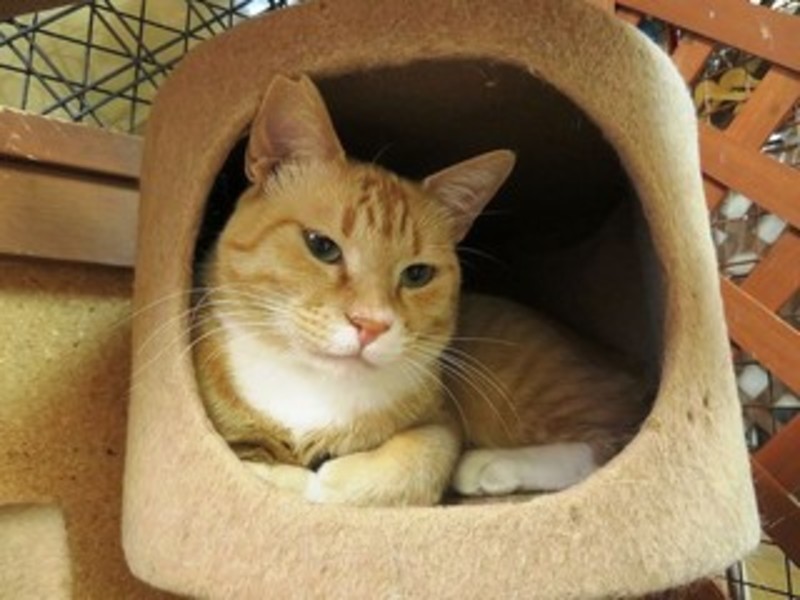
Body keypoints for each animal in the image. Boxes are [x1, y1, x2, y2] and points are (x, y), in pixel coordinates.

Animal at [192, 73, 650, 506]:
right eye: (321, 246)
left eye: (416, 275)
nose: (371, 325)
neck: (310, 386)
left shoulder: (440, 423)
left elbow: (406, 467)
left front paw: (320, 480)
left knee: (609, 445)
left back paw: (490, 465)